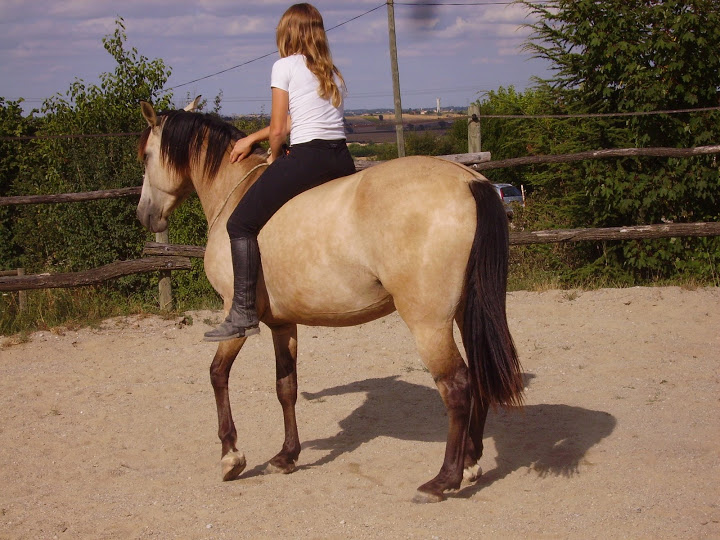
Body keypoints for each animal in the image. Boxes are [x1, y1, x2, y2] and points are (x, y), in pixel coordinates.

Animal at [135, 101, 520, 502]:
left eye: (146, 156)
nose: (144, 215)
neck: (235, 192)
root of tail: (468, 180)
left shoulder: (235, 317)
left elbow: (217, 375)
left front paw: (231, 456)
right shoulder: (282, 324)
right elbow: (286, 387)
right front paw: (286, 456)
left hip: (429, 324)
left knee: (457, 387)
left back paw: (444, 479)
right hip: (464, 313)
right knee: (479, 375)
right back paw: (471, 461)